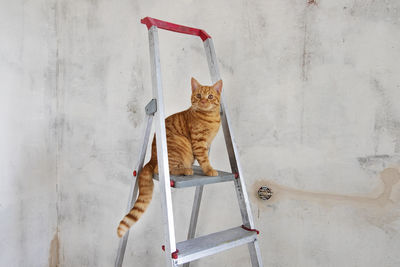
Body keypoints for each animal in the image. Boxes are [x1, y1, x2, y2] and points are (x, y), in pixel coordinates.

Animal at [117, 78, 223, 239]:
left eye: (210, 96)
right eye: (198, 96)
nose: (204, 101)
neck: (210, 118)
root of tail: (152, 158)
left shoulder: (207, 143)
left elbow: (205, 156)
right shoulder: (198, 142)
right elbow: (204, 159)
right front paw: (209, 169)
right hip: (180, 143)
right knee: (161, 170)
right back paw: (186, 170)